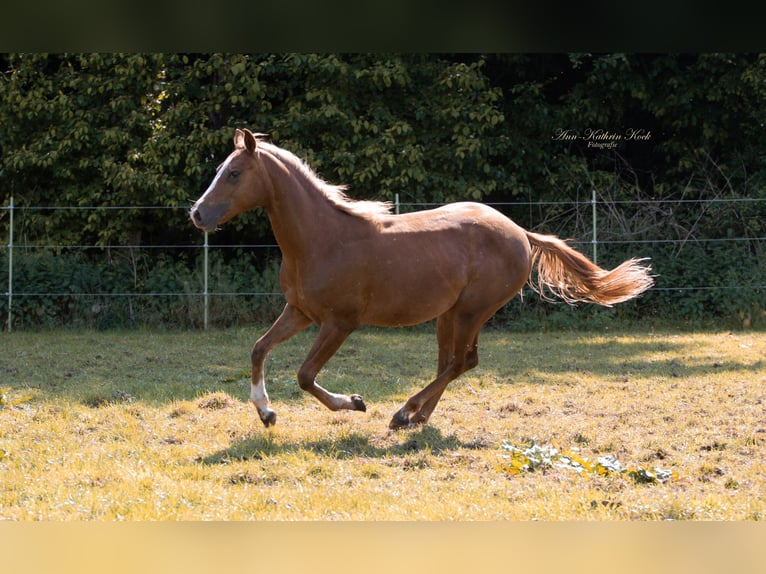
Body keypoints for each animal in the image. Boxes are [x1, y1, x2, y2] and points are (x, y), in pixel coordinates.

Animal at [190, 128, 654, 430]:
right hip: (449, 315)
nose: (196, 214)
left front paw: (355, 402)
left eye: (234, 174)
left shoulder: (339, 322)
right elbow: (258, 348)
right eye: (221, 169)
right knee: (452, 363)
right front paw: (266, 412)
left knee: (461, 362)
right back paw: (417, 416)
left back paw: (402, 413)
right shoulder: (300, 311)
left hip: (471, 311)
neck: (321, 239)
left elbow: (305, 375)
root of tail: (521, 233)